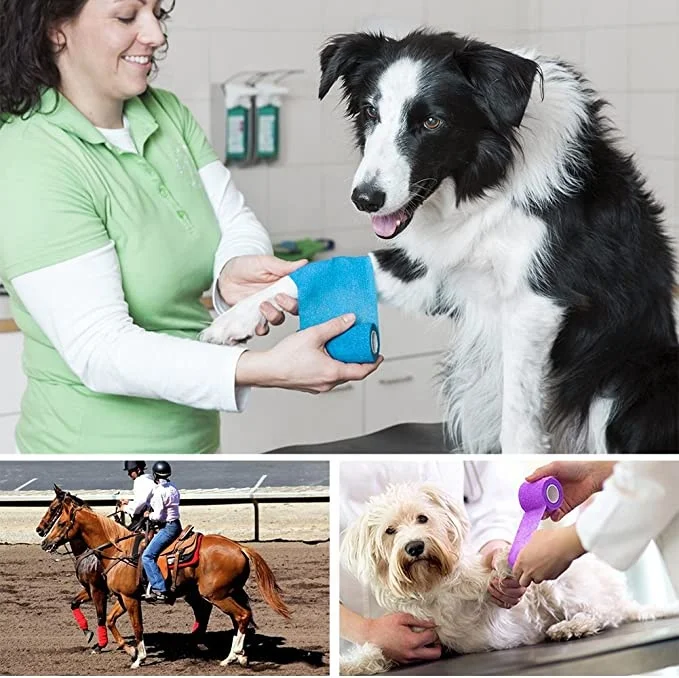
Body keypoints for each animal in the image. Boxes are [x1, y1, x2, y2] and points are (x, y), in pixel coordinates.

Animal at [39, 487, 291, 669]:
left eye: (59, 518)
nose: (43, 539)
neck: (117, 551)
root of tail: (240, 547)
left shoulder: (121, 595)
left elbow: (134, 625)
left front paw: (138, 657)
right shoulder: (122, 596)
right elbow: (109, 620)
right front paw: (130, 650)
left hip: (216, 594)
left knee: (240, 616)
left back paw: (232, 654)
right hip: (225, 592)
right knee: (236, 618)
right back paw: (233, 655)